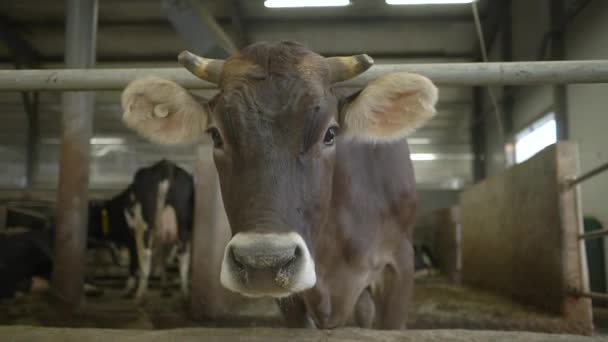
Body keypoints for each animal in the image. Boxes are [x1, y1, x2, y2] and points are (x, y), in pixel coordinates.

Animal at [88, 160, 195, 300]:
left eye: (90, 217)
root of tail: (165, 165)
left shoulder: (131, 239)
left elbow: (134, 263)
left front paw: (128, 289)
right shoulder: (163, 238)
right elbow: (162, 260)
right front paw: (165, 288)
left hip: (145, 227)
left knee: (145, 255)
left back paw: (140, 296)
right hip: (183, 225)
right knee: (184, 256)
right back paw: (185, 294)